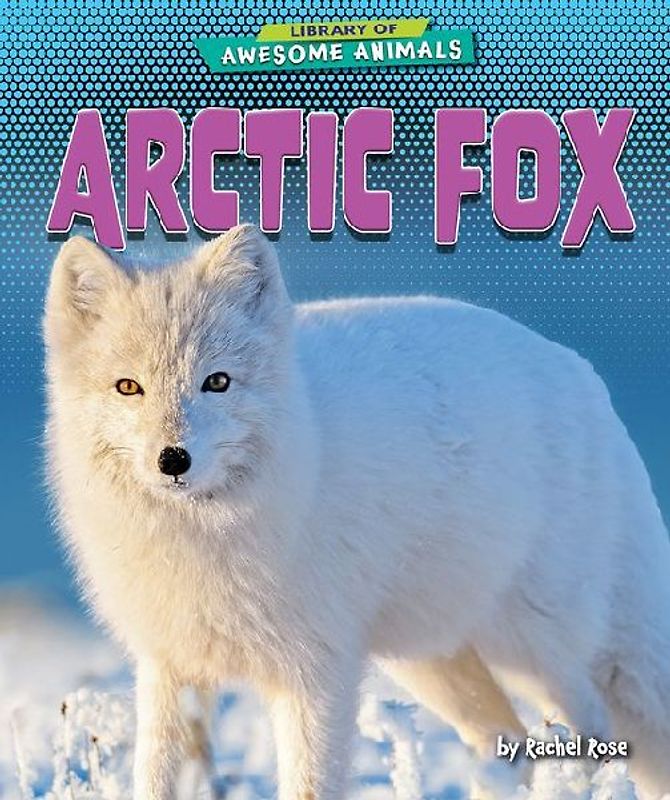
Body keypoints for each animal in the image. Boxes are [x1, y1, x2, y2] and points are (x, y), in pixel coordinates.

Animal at [44, 224, 670, 800]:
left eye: (216, 381)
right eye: (128, 387)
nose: (173, 459)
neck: (202, 534)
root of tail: (584, 377)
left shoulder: (317, 673)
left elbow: (309, 787)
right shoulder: (169, 664)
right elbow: (155, 778)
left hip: (532, 650)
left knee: (591, 737)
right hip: (435, 664)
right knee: (506, 743)